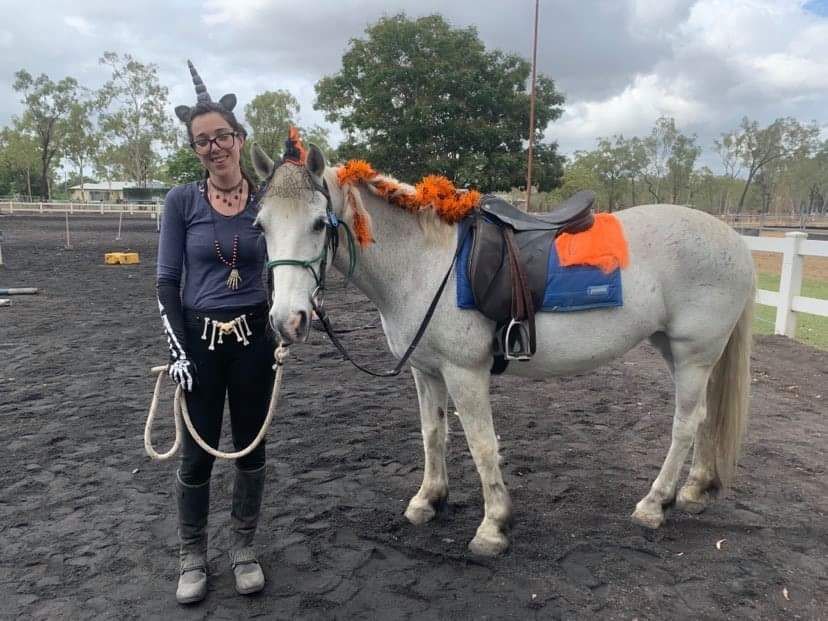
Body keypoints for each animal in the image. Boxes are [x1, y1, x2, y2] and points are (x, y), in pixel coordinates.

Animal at [250, 143, 756, 557]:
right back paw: (693, 491)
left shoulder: (464, 373)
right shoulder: (426, 371)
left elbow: (481, 444)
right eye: (260, 226)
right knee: (705, 418)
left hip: (693, 355)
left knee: (685, 425)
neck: (423, 262)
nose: (286, 320)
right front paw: (428, 500)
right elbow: (433, 433)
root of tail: (734, 240)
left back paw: (654, 504)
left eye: (319, 224)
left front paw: (493, 527)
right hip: (679, 351)